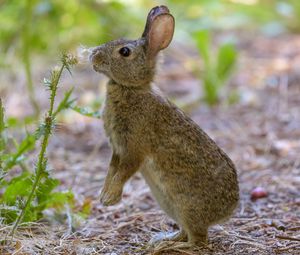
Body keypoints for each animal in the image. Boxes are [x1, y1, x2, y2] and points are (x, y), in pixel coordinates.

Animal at [89, 4, 239, 248]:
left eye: (124, 52)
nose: (93, 55)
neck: (131, 89)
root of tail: (228, 211)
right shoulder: (117, 149)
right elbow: (112, 169)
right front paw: (104, 196)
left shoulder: (133, 148)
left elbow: (124, 171)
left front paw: (110, 199)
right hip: (171, 207)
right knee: (187, 232)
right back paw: (162, 239)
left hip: (186, 206)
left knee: (198, 240)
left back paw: (166, 246)